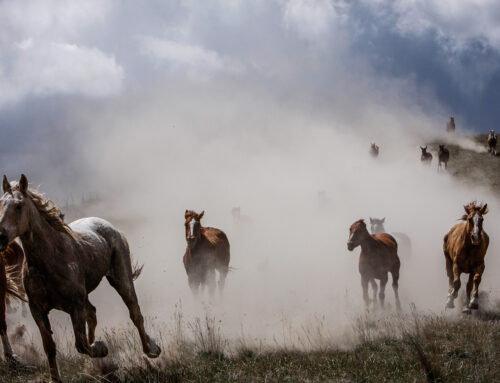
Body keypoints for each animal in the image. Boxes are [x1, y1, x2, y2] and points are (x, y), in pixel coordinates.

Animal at [0, 176, 160, 382]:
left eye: (19, 206)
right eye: (0, 204)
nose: (1, 237)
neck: (51, 258)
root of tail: (110, 226)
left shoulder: (75, 306)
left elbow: (81, 344)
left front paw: (101, 347)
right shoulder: (38, 311)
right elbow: (50, 347)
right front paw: (56, 378)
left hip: (121, 279)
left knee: (135, 313)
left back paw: (152, 349)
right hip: (86, 297)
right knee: (93, 313)